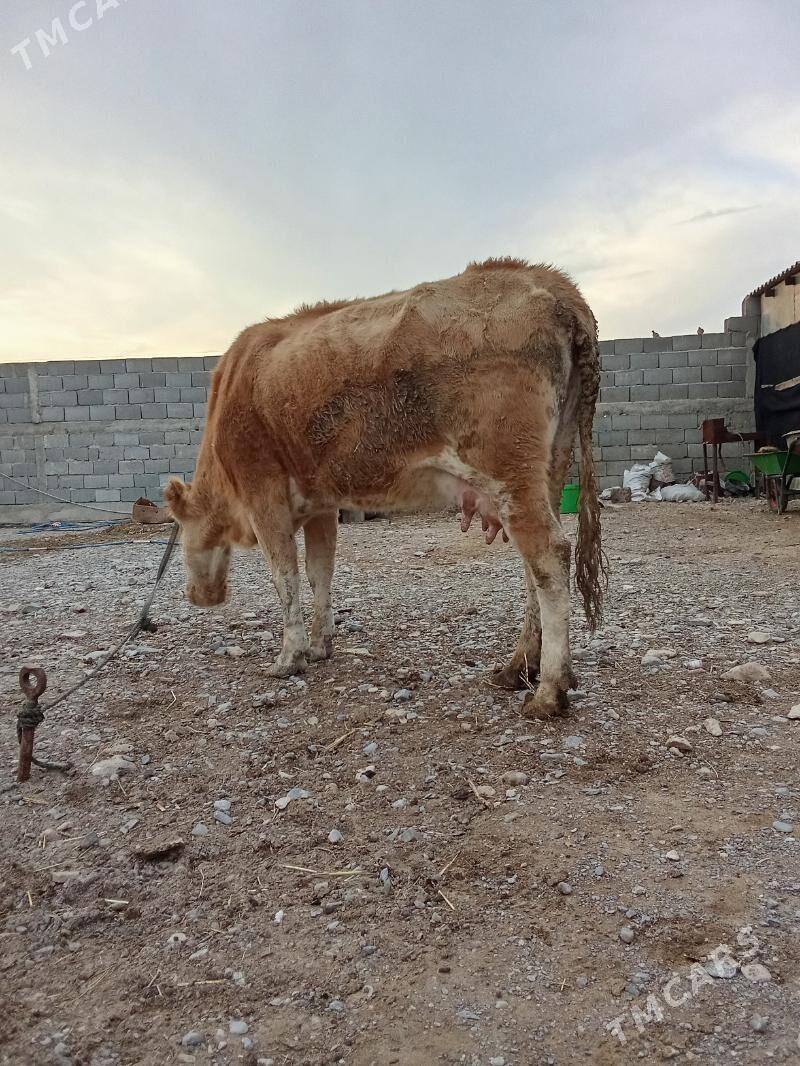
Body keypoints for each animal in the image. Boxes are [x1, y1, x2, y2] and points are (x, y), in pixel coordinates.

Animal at [165, 257, 607, 720]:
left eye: (180, 535)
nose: (197, 595)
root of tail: (549, 279)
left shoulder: (262, 491)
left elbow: (285, 576)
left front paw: (289, 658)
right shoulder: (322, 504)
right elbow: (320, 571)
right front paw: (320, 646)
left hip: (508, 469)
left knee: (549, 555)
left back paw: (549, 691)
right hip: (549, 465)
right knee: (532, 569)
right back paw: (518, 668)